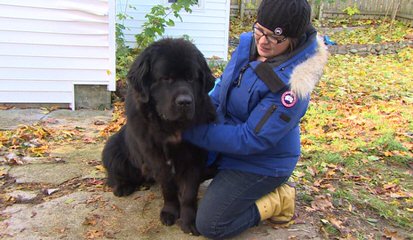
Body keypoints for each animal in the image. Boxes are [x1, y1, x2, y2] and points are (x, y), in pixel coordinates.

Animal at [102, 38, 216, 235]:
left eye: (191, 78)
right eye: (166, 78)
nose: (185, 102)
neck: (172, 127)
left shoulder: (194, 159)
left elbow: (189, 193)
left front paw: (189, 220)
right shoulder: (157, 159)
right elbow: (168, 189)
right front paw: (170, 212)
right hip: (112, 147)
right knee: (114, 173)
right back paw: (123, 186)